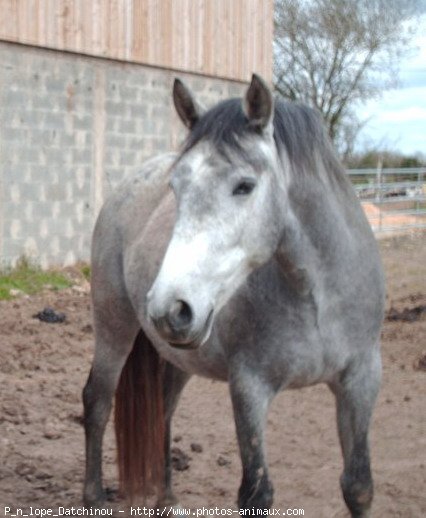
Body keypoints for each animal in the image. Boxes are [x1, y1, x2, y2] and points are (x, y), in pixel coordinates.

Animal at [81, 74, 384, 518]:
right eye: (175, 187)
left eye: (245, 185)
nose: (169, 307)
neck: (318, 299)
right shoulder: (249, 387)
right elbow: (257, 491)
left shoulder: (360, 380)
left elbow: (358, 486)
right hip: (114, 327)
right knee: (98, 401)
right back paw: (92, 496)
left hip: (180, 353)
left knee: (162, 411)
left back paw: (167, 499)